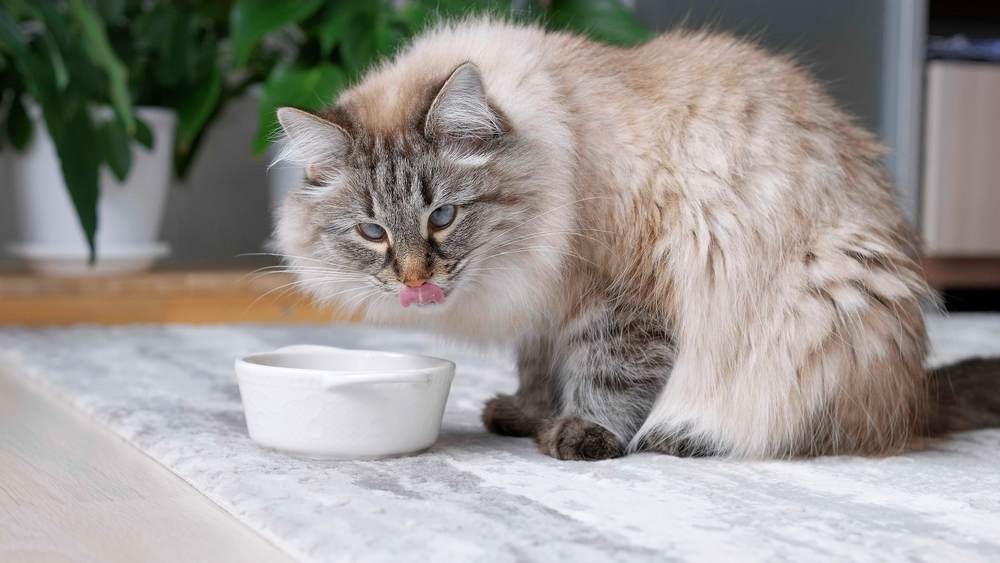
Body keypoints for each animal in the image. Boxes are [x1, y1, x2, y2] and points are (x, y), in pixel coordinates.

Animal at [270, 17, 996, 460]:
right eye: (372, 231)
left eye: (442, 217)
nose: (416, 279)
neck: (565, 148)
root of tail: (914, 392)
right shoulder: (546, 305)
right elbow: (540, 371)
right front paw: (526, 415)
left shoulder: (617, 294)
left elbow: (608, 374)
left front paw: (580, 434)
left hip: (821, 307)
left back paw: (685, 434)